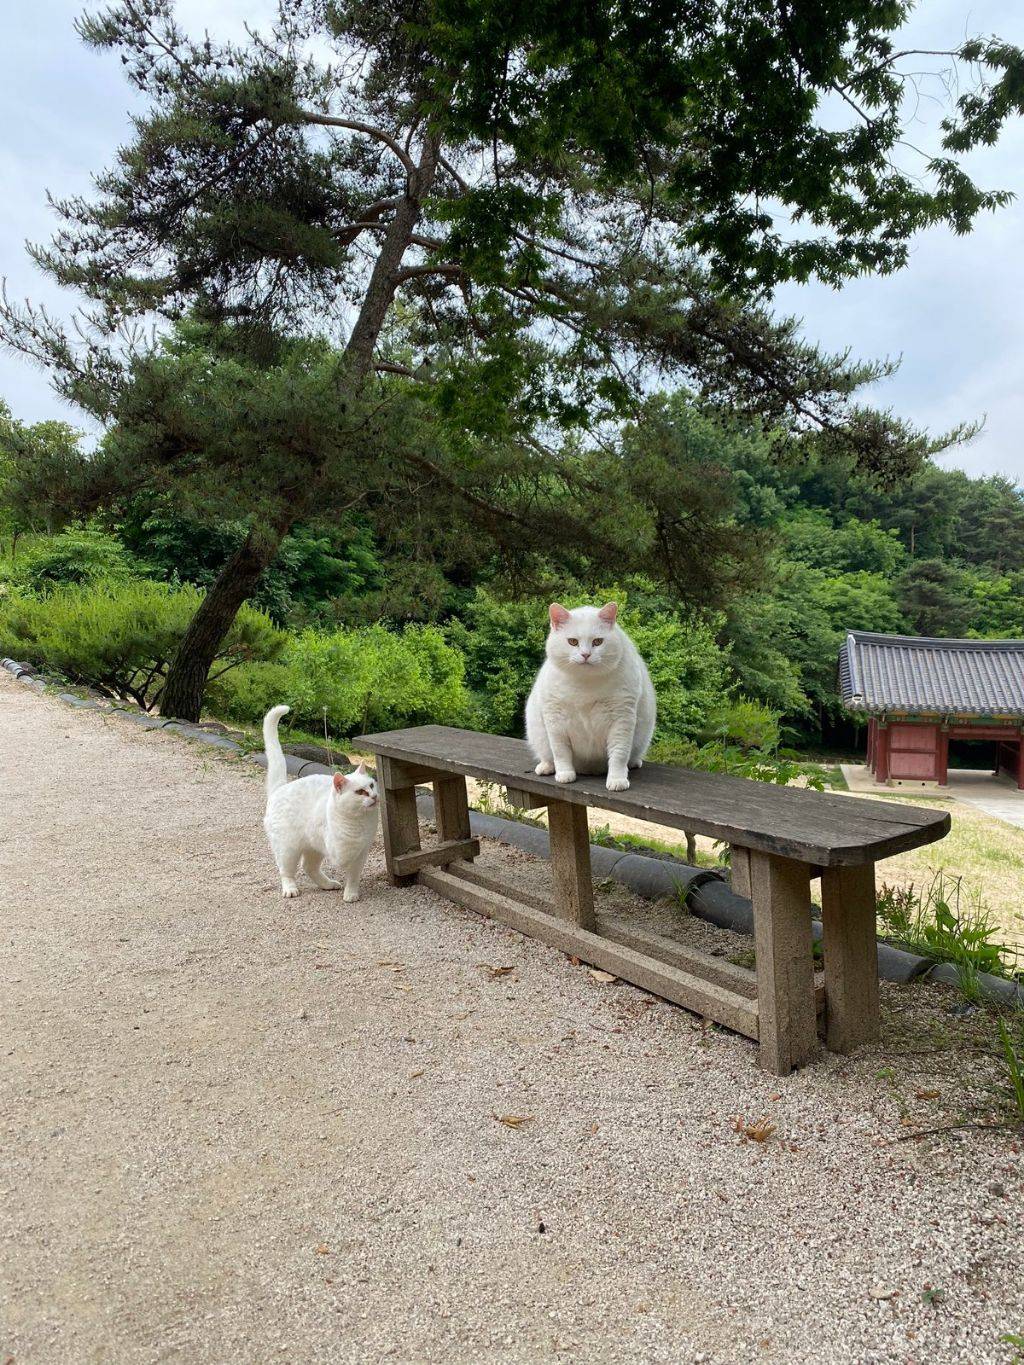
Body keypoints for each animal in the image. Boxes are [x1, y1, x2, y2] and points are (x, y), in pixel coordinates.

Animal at [262, 709, 379, 900]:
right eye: (360, 792)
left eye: (371, 785)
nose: (375, 796)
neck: (359, 822)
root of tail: (280, 788)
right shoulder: (342, 851)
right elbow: (348, 865)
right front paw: (351, 893)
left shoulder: (361, 854)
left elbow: (353, 876)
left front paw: (351, 893)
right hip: (289, 849)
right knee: (286, 871)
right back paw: (290, 889)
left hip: (313, 848)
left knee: (309, 868)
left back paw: (328, 884)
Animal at [524, 603, 660, 797]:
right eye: (572, 641)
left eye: (598, 642)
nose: (585, 654)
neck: (585, 682)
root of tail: (590, 770)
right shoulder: (555, 719)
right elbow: (560, 752)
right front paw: (565, 774)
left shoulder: (622, 719)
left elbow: (619, 754)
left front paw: (617, 780)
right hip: (538, 735)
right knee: (548, 755)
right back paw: (546, 767)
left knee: (630, 756)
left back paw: (633, 763)